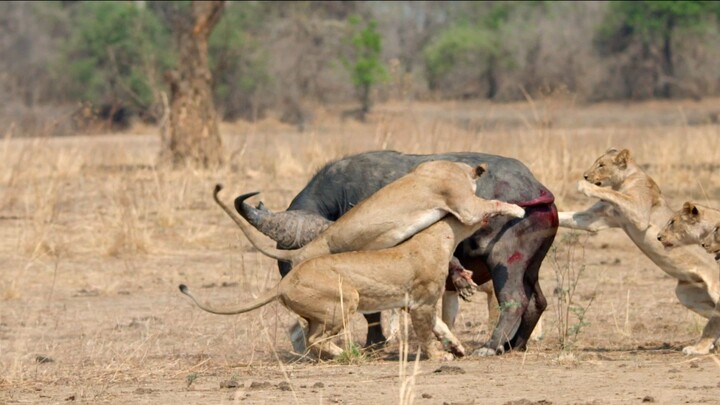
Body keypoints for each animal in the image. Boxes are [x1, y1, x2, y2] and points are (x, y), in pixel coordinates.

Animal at [180, 200, 525, 360]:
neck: (441, 235)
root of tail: (284, 282)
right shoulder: (421, 303)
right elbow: (428, 332)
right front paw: (439, 355)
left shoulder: (417, 303)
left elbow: (440, 326)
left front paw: (456, 347)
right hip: (347, 300)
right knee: (315, 339)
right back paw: (345, 354)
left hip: (320, 311)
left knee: (308, 335)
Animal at [559, 148, 720, 355]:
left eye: (601, 164)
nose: (585, 175)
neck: (623, 180)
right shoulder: (596, 219)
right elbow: (566, 216)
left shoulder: (639, 213)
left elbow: (613, 194)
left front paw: (584, 186)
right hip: (685, 292)